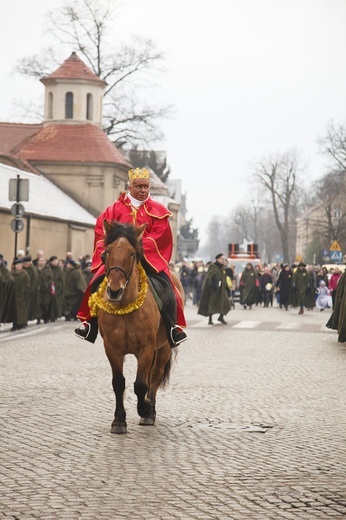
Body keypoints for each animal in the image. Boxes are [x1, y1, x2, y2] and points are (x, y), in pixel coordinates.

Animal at [92, 219, 184, 434]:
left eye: (132, 253)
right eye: (107, 251)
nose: (114, 291)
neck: (125, 306)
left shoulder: (146, 349)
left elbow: (141, 385)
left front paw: (145, 408)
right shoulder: (112, 349)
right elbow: (118, 383)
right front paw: (119, 421)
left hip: (163, 348)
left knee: (155, 376)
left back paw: (150, 412)